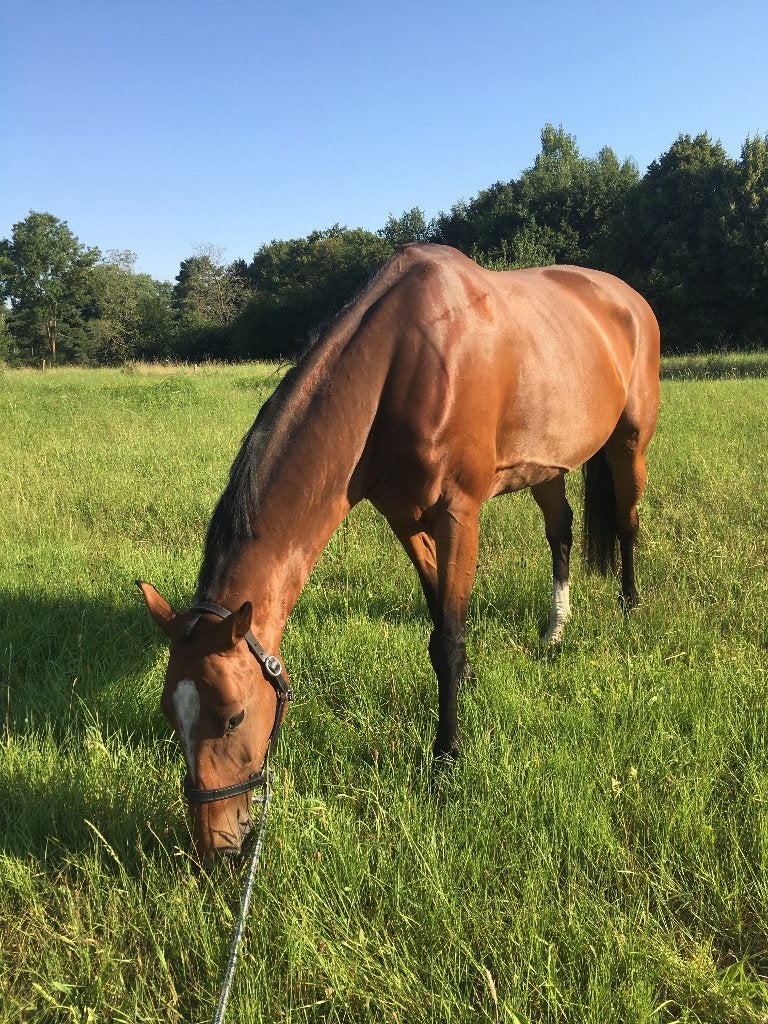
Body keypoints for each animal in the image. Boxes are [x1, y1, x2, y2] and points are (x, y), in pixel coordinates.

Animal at [138, 243, 660, 863]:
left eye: (233, 715)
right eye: (170, 713)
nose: (217, 848)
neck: (406, 364)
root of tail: (628, 297)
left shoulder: (459, 514)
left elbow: (448, 639)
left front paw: (447, 759)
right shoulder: (404, 518)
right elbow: (440, 613)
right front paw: (469, 684)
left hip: (631, 440)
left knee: (626, 522)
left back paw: (630, 603)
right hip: (546, 465)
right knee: (561, 532)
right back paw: (554, 632)